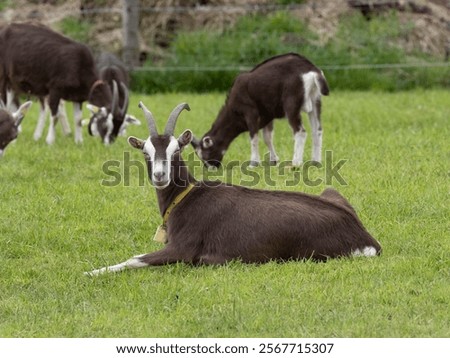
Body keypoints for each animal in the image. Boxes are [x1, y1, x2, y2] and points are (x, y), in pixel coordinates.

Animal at [85, 102, 380, 276]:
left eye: (176, 150)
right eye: (146, 152)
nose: (160, 175)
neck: (186, 197)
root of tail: (364, 238)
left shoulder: (183, 250)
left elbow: (134, 258)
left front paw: (91, 272)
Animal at [192, 52, 328, 168]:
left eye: (206, 153)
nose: (211, 169)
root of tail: (312, 70)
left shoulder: (250, 111)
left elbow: (254, 137)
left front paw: (253, 163)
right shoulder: (268, 115)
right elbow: (267, 137)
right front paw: (274, 160)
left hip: (292, 103)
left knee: (300, 131)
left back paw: (296, 163)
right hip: (316, 101)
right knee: (317, 130)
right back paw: (316, 162)